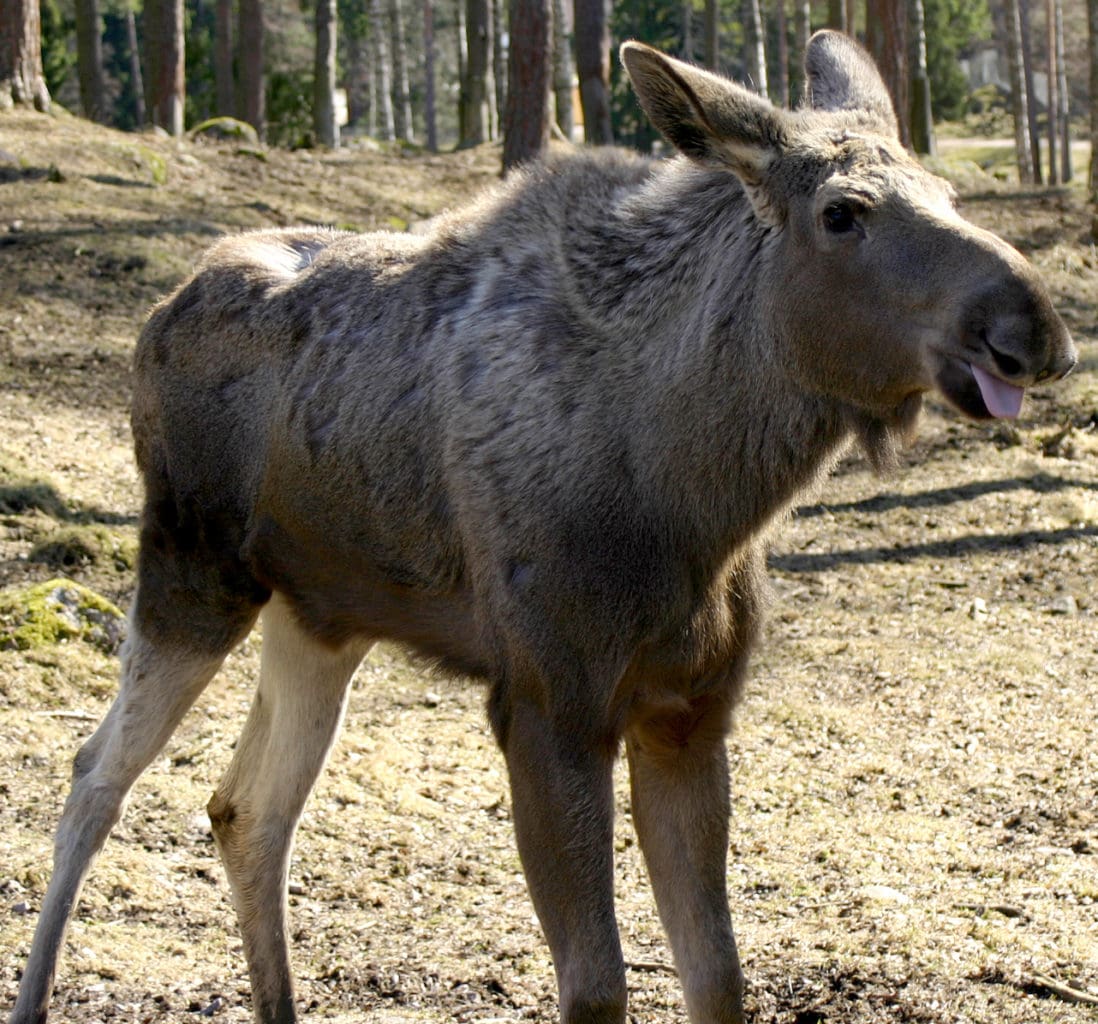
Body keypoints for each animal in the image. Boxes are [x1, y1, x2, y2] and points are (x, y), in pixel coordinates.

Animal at [8, 27, 1071, 1022]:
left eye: (947, 191)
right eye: (842, 211)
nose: (1034, 328)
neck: (697, 495)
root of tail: (160, 311)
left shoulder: (689, 711)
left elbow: (718, 976)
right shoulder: (546, 703)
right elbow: (597, 987)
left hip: (319, 617)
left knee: (246, 811)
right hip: (191, 570)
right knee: (93, 777)